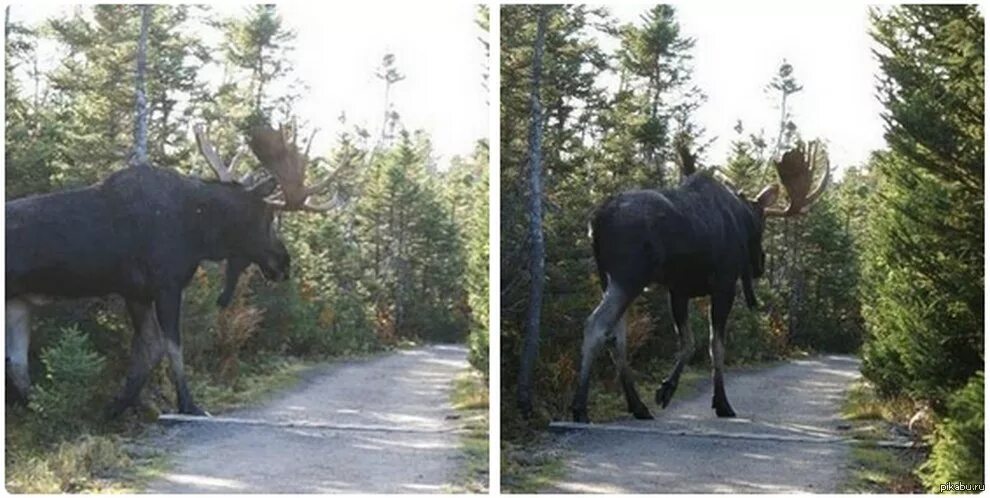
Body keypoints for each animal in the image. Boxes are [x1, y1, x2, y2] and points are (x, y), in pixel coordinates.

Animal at [6, 122, 348, 414]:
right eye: (267, 217)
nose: (284, 262)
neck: (199, 230)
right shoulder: (165, 284)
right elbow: (172, 346)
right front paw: (188, 403)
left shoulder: (136, 292)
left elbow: (149, 348)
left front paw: (120, 404)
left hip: (19, 303)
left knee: (17, 363)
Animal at [572, 142, 828, 422]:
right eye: (761, 224)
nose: (760, 265)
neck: (740, 215)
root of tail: (596, 221)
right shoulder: (724, 284)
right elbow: (715, 346)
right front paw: (722, 403)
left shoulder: (678, 289)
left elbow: (688, 342)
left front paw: (666, 389)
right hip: (628, 277)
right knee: (596, 325)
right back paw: (580, 408)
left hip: (608, 279)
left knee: (617, 336)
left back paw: (638, 406)